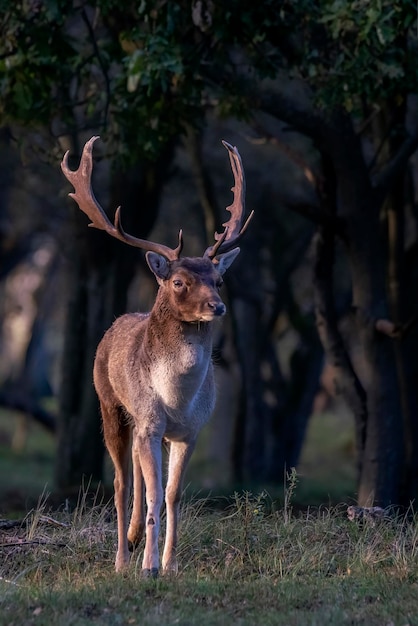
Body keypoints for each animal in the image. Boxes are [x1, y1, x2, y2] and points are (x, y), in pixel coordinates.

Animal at [60, 135, 253, 576]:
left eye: (218, 280)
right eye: (179, 281)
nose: (218, 306)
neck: (176, 398)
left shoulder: (190, 431)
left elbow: (172, 495)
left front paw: (170, 564)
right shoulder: (149, 421)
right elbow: (150, 494)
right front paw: (147, 565)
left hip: (145, 428)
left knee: (137, 473)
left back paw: (132, 541)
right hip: (110, 404)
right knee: (120, 482)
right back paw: (121, 557)